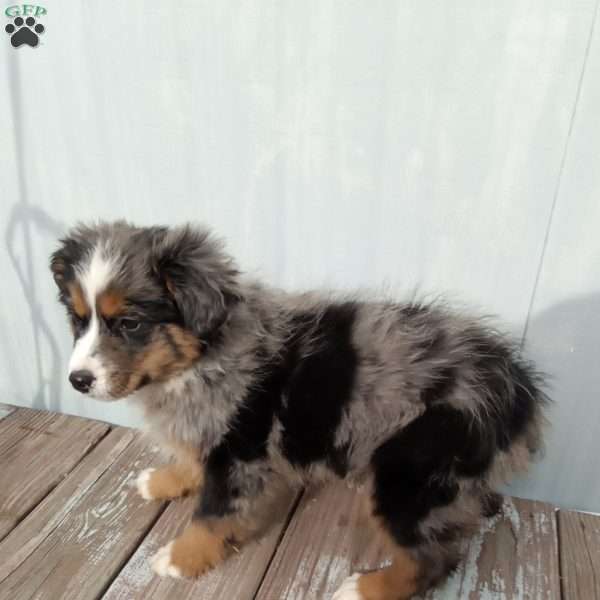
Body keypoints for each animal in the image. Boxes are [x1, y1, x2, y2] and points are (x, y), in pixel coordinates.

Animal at [51, 221, 548, 600]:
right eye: (77, 319)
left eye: (129, 323)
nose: (77, 380)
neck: (203, 356)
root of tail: (518, 390)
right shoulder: (214, 431)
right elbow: (193, 460)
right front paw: (163, 480)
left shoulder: (239, 451)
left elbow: (212, 513)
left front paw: (180, 558)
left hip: (409, 475)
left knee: (434, 559)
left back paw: (366, 589)